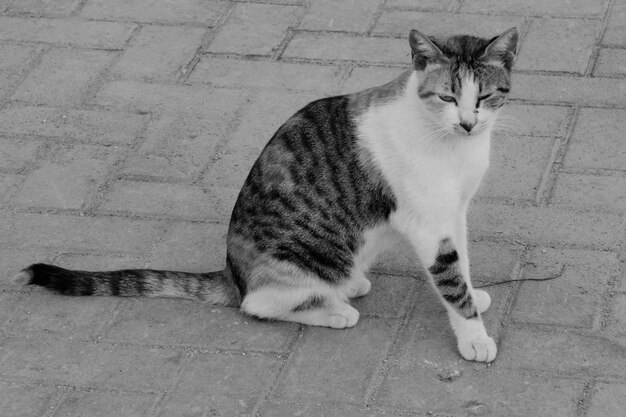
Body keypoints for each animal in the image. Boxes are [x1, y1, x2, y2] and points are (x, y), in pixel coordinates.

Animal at [13, 27, 516, 362]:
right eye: (448, 97)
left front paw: (475, 297)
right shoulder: (429, 223)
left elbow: (462, 266)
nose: (467, 123)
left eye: (484, 96)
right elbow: (450, 281)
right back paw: (333, 310)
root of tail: (232, 272)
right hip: (311, 256)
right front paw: (474, 336)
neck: (454, 146)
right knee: (258, 304)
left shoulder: (454, 212)